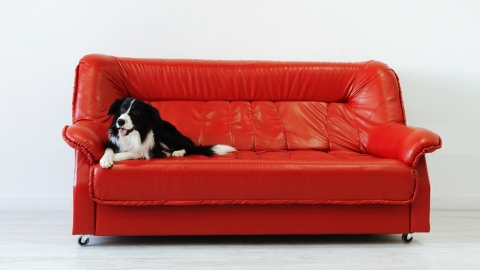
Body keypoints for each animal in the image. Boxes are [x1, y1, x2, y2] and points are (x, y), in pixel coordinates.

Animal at [100, 97, 236, 169]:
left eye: (136, 112)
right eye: (122, 109)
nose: (120, 121)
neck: (132, 135)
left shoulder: (146, 150)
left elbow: (134, 152)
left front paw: (116, 156)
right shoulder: (112, 141)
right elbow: (108, 149)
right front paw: (106, 159)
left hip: (164, 132)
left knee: (188, 147)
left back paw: (178, 152)